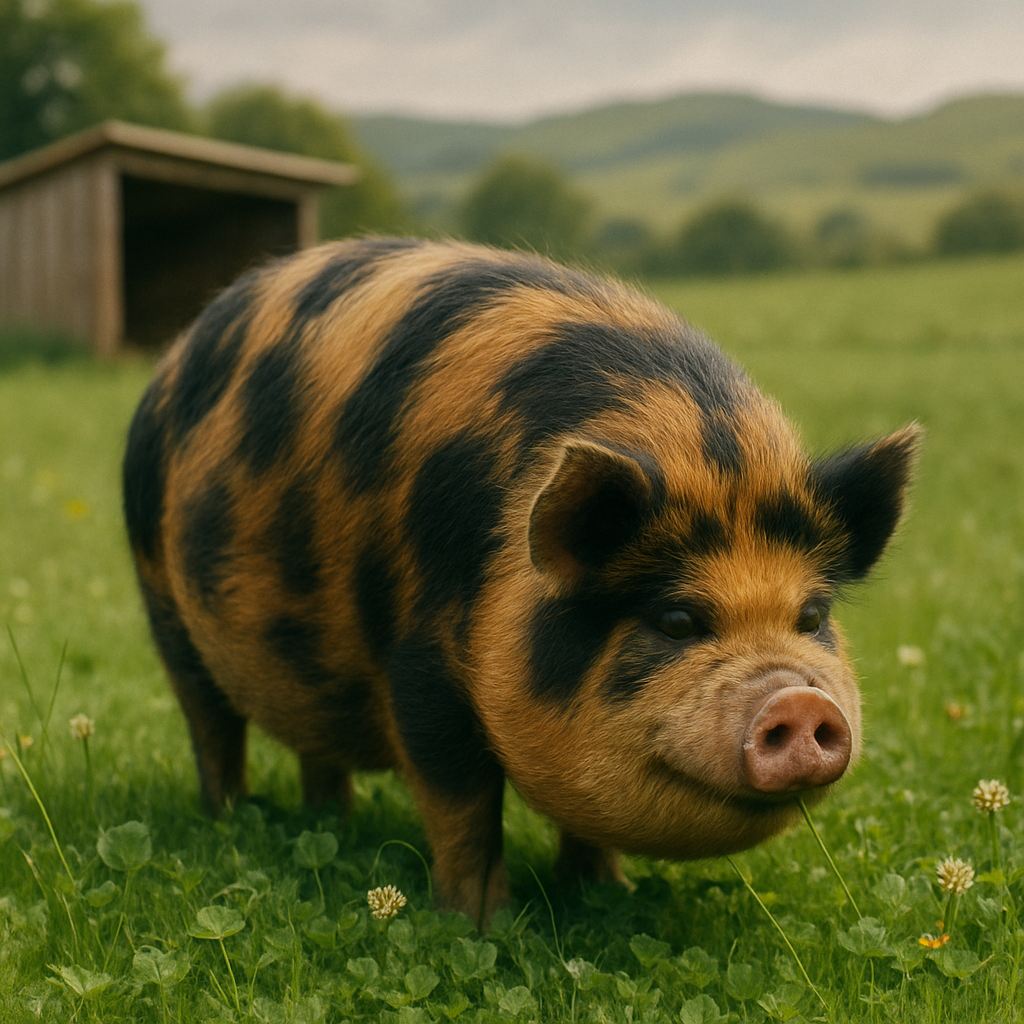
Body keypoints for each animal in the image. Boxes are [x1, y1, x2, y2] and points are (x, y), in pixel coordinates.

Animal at [122, 237, 919, 928]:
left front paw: (607, 893)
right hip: (160, 597)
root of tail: (173, 357)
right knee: (211, 723)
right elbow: (462, 803)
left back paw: (332, 824)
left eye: (812, 616)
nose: (799, 700)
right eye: (676, 620)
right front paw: (481, 925)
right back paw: (232, 821)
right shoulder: (418, 666)